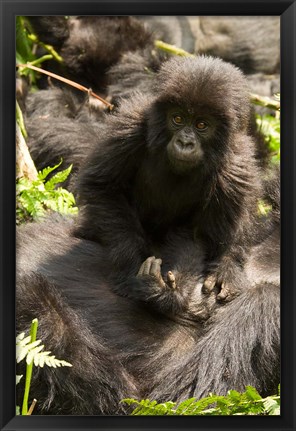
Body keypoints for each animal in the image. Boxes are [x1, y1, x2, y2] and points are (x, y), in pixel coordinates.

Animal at [75, 56, 262, 314]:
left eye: (202, 125)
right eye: (178, 119)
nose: (185, 142)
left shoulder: (237, 164)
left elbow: (211, 235)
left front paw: (224, 269)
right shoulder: (130, 126)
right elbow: (103, 187)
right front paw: (131, 267)